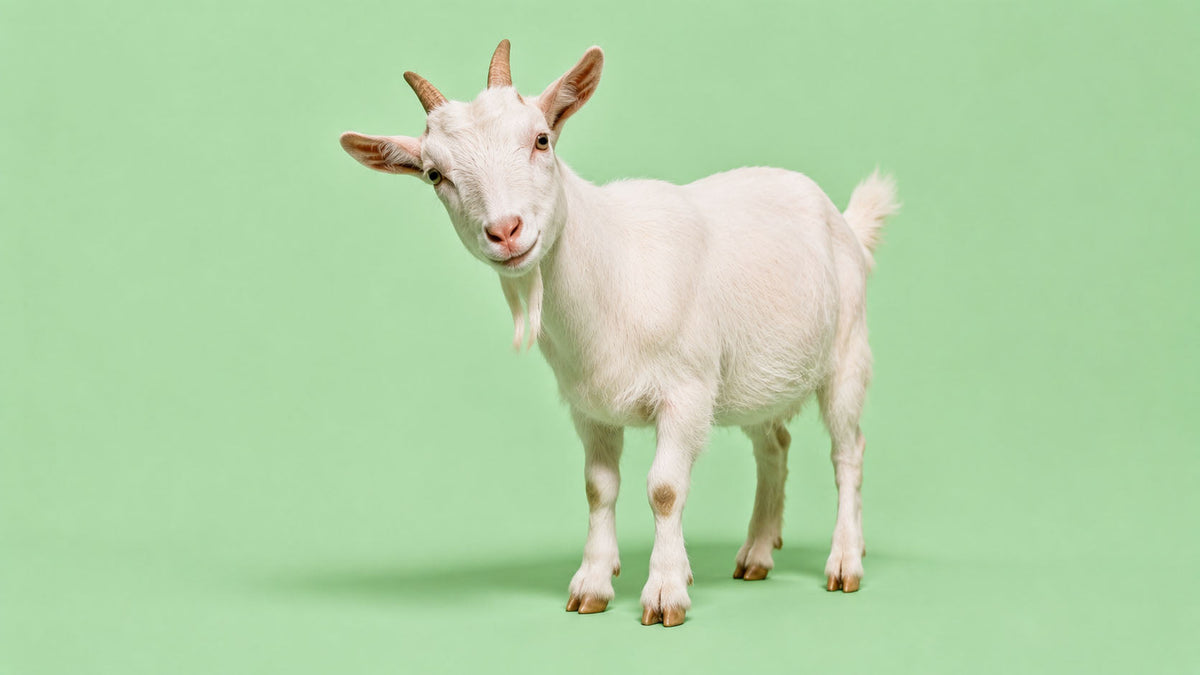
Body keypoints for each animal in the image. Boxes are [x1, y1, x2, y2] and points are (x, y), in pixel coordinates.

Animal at [339, 40, 899, 627]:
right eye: (434, 175)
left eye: (541, 139)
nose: (506, 231)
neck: (615, 272)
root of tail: (845, 222)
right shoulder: (589, 406)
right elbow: (598, 488)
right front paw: (592, 583)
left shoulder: (686, 392)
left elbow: (666, 490)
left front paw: (666, 592)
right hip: (755, 378)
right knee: (774, 445)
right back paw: (757, 552)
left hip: (847, 353)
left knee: (847, 451)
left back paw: (845, 560)